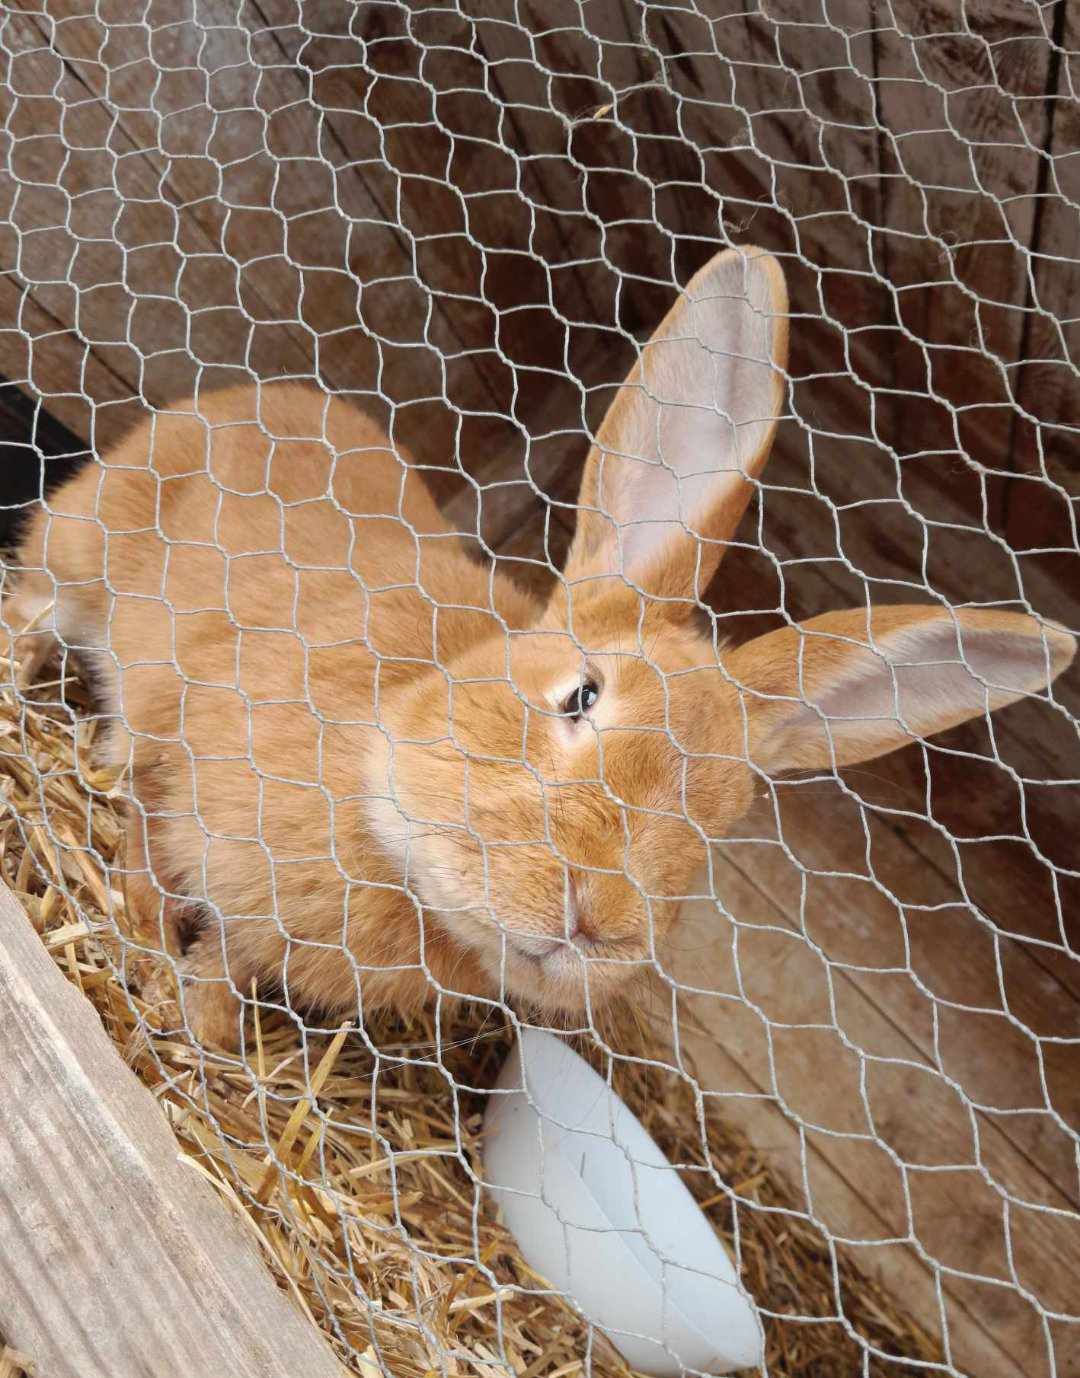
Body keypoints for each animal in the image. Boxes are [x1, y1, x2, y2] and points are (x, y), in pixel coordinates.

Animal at [4, 245, 1074, 1052]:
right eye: (581, 697)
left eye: (720, 823)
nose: (594, 923)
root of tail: (252, 398)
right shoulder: (175, 750)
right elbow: (149, 840)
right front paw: (148, 947)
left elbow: (228, 958)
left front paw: (209, 1027)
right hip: (83, 546)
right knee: (32, 609)